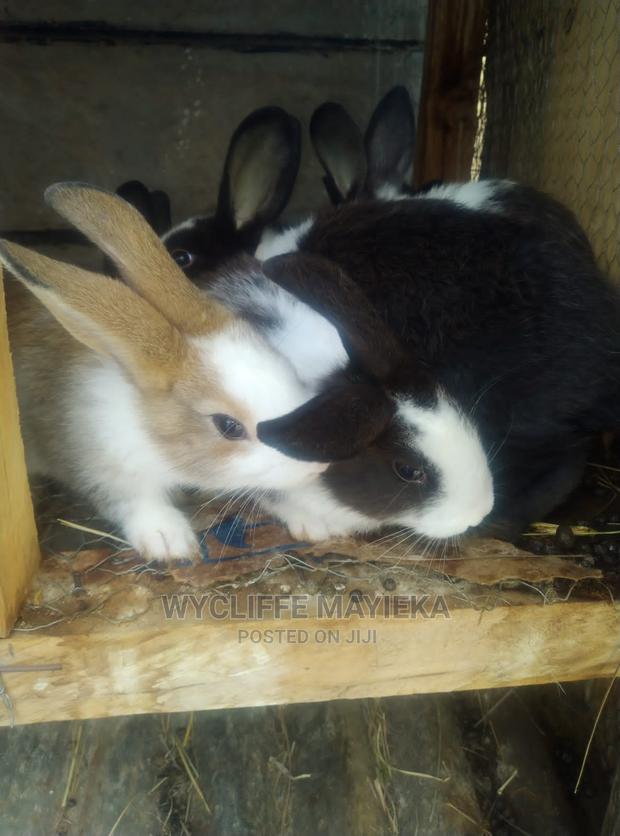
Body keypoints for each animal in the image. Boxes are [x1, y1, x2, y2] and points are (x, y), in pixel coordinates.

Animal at [0, 182, 327, 564]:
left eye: (288, 369)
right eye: (228, 426)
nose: (319, 466)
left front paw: (312, 520)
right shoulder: (102, 467)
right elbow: (134, 501)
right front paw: (169, 540)